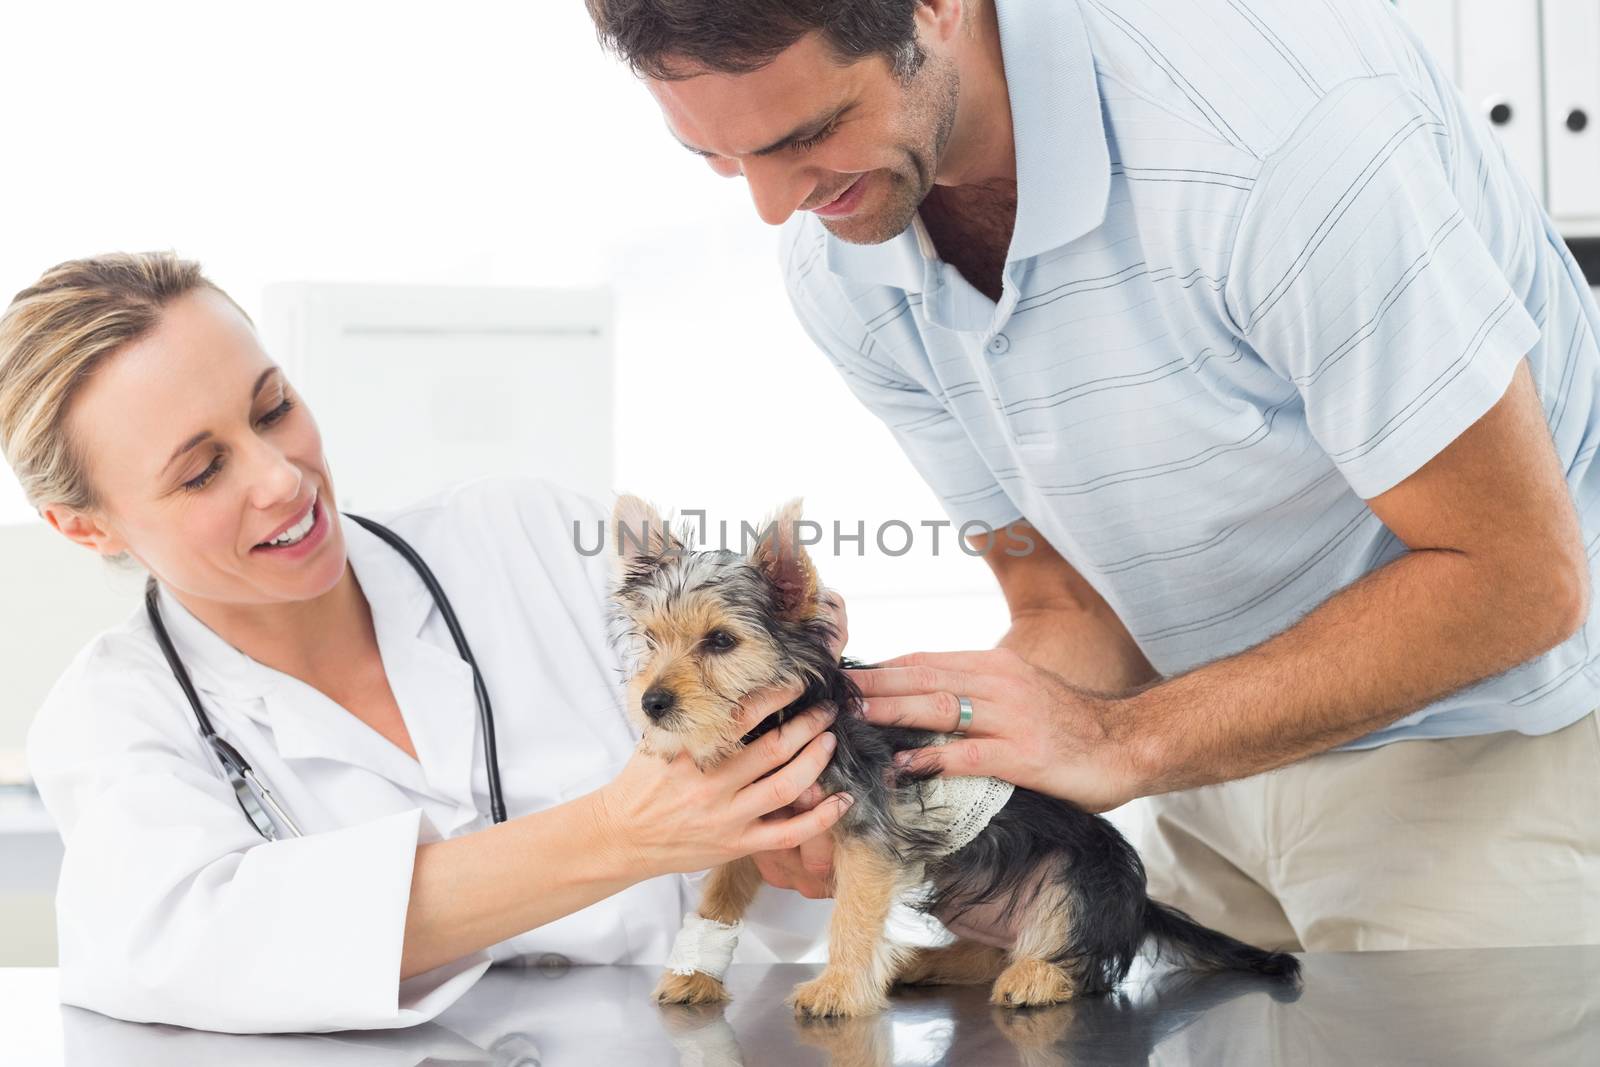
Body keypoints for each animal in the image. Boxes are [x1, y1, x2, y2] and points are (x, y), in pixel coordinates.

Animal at [604, 499, 1292, 1017]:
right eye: (650, 640)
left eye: (721, 641)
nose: (652, 703)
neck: (777, 719)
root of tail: (1137, 905)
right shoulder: (756, 821)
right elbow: (720, 893)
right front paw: (694, 973)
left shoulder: (867, 835)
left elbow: (853, 916)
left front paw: (839, 989)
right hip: (968, 895)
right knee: (992, 949)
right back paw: (923, 962)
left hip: (1075, 882)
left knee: (1075, 959)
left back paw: (1036, 977)